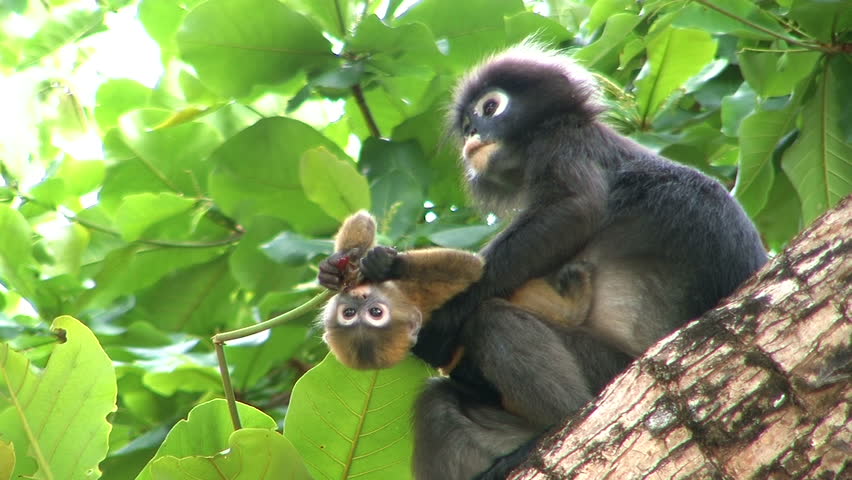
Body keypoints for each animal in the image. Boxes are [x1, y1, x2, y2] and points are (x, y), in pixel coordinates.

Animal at [359, 42, 768, 479]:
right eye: (467, 123)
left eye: (490, 108)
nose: (472, 133)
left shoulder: (565, 143)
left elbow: (573, 209)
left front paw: (430, 314)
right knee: (439, 401)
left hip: (609, 370)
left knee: (493, 321)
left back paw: (559, 423)